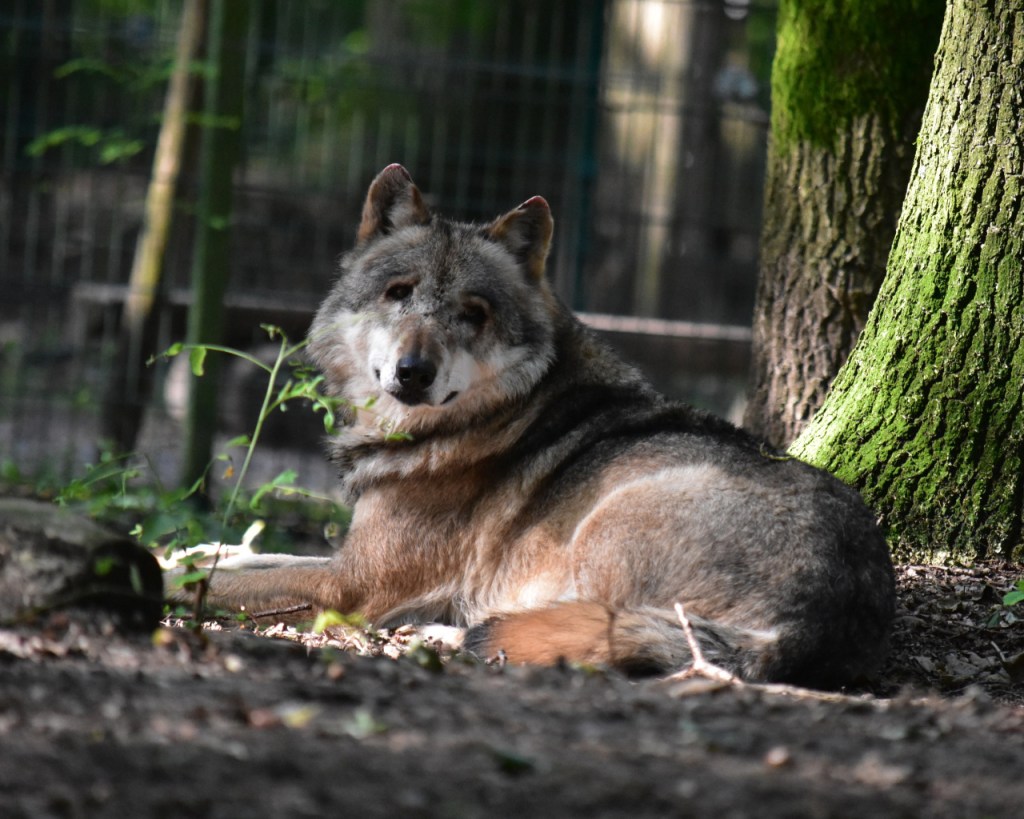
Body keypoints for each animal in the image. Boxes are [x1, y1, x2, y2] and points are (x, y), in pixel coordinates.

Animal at [191, 164, 895, 688]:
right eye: (400, 292)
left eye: (473, 313)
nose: (413, 372)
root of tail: (811, 624)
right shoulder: (346, 559)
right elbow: (252, 556)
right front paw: (196, 548)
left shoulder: (352, 582)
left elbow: (234, 582)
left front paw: (178, 573)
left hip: (605, 528)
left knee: (583, 634)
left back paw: (440, 632)